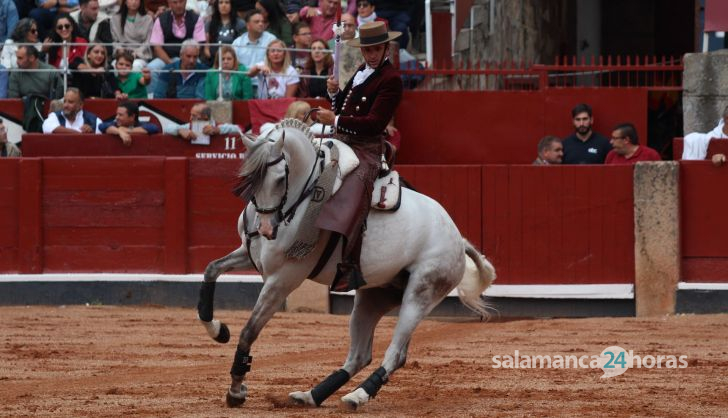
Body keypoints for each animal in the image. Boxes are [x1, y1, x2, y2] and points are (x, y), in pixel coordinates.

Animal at [199, 119, 494, 410]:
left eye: (281, 178)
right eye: (249, 177)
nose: (265, 228)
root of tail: (458, 238)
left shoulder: (284, 277)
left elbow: (249, 331)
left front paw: (237, 390)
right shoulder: (248, 254)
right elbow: (211, 269)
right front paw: (218, 330)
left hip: (421, 293)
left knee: (396, 354)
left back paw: (358, 395)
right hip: (373, 296)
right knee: (360, 354)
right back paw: (310, 395)